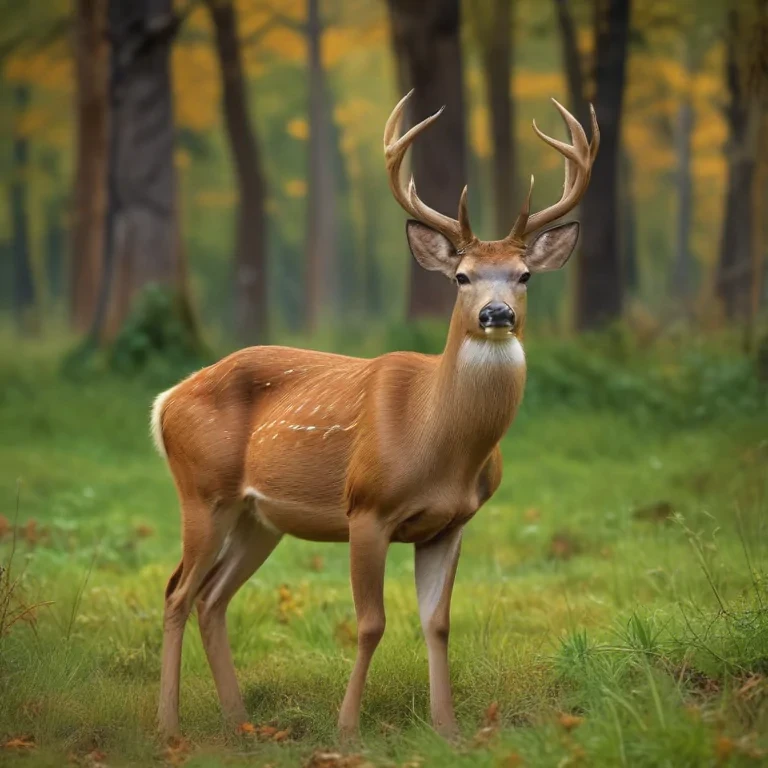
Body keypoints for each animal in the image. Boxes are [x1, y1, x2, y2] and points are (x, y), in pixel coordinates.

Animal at [152, 91, 599, 739]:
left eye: (524, 276)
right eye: (461, 276)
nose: (496, 314)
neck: (436, 440)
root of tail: (166, 399)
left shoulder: (451, 522)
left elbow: (438, 622)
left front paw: (448, 728)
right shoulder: (366, 507)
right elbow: (370, 622)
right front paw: (347, 728)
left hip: (258, 517)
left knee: (212, 597)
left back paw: (240, 722)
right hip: (201, 491)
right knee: (177, 591)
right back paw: (169, 725)